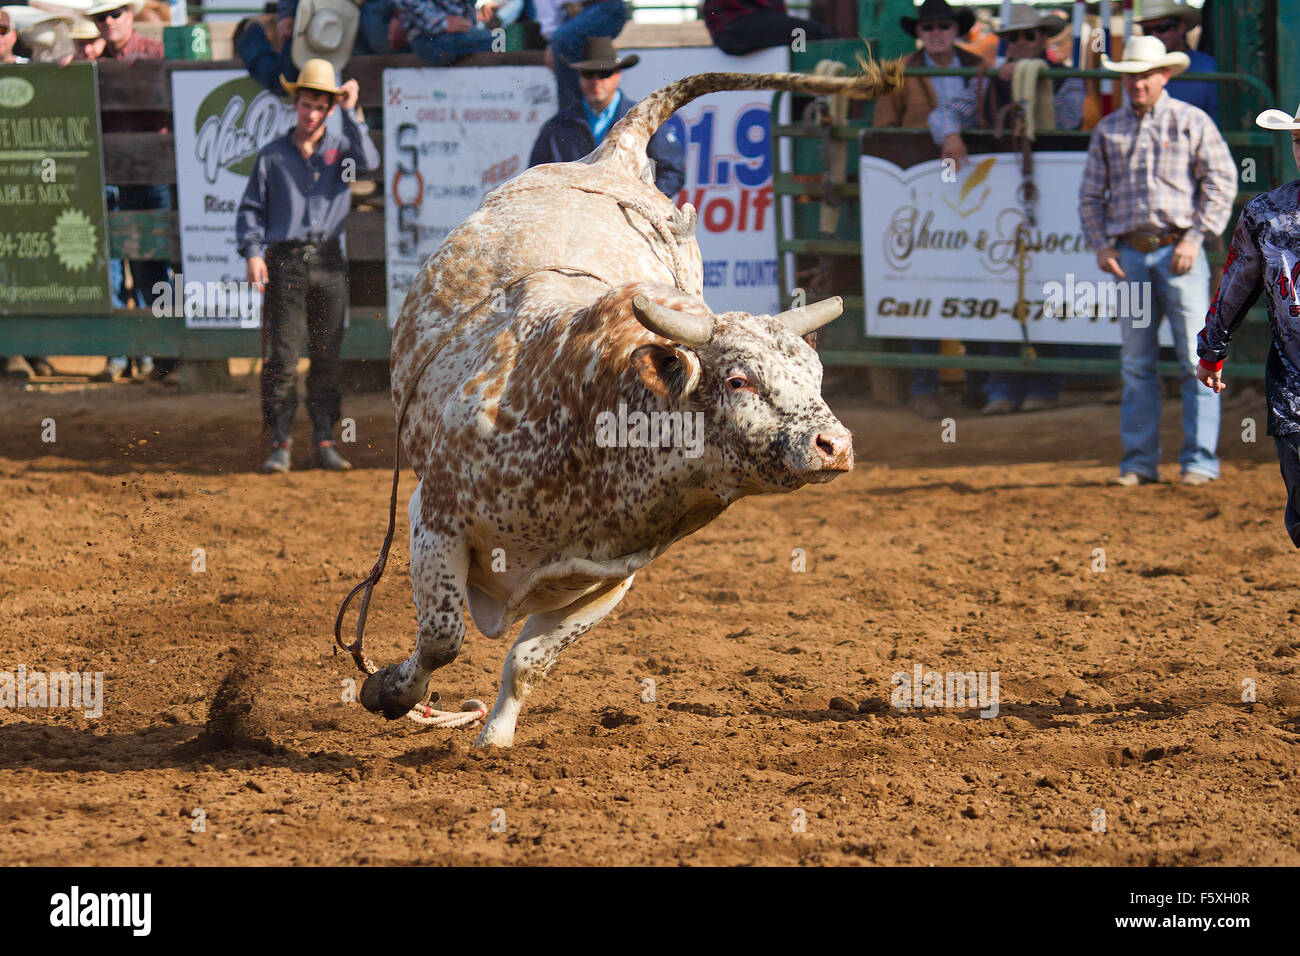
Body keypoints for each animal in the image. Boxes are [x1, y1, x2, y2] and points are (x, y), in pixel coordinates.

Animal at [351, 63, 909, 749]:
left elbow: (529, 660)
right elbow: (441, 638)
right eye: (739, 380)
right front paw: (386, 691)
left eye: (816, 373)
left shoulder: (610, 576)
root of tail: (613, 153)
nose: (836, 446)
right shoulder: (434, 517)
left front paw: (495, 737)